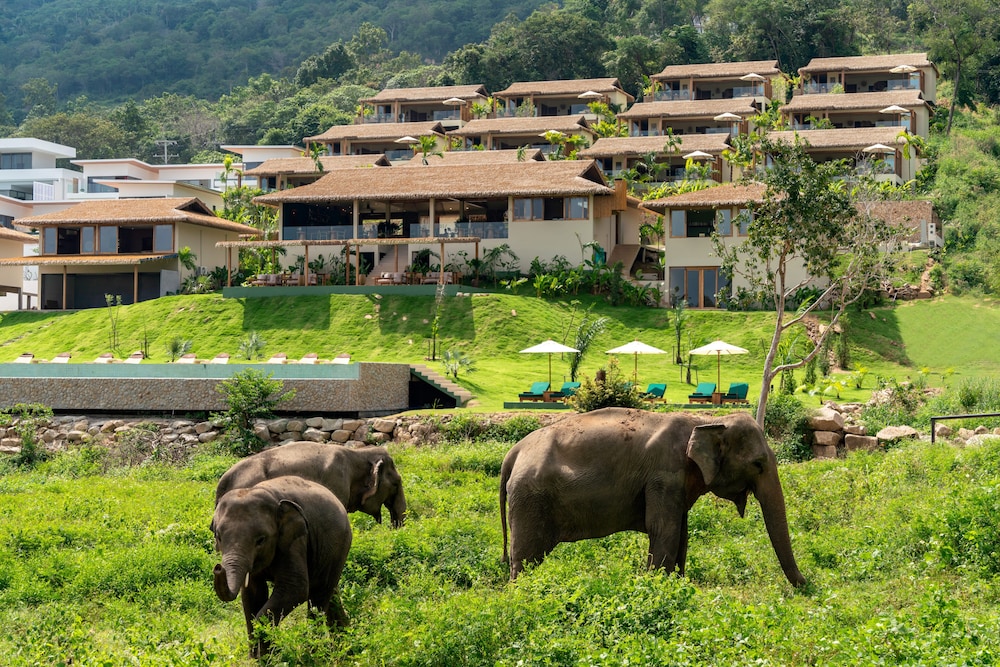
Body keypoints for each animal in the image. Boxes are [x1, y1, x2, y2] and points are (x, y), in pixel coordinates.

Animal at [212, 475, 352, 658]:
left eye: (261, 540)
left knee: (318, 599)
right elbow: (252, 594)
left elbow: (295, 589)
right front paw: (257, 658)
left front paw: (266, 654)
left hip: (339, 545)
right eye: (218, 536)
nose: (218, 568)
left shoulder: (295, 540)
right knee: (330, 593)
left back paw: (315, 651)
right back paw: (346, 647)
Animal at [499, 407, 806, 587]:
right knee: (525, 558)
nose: (805, 585)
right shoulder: (665, 475)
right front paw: (660, 587)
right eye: (758, 464)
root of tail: (514, 451)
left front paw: (679, 585)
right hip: (531, 498)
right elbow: (664, 530)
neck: (705, 422)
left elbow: (682, 533)